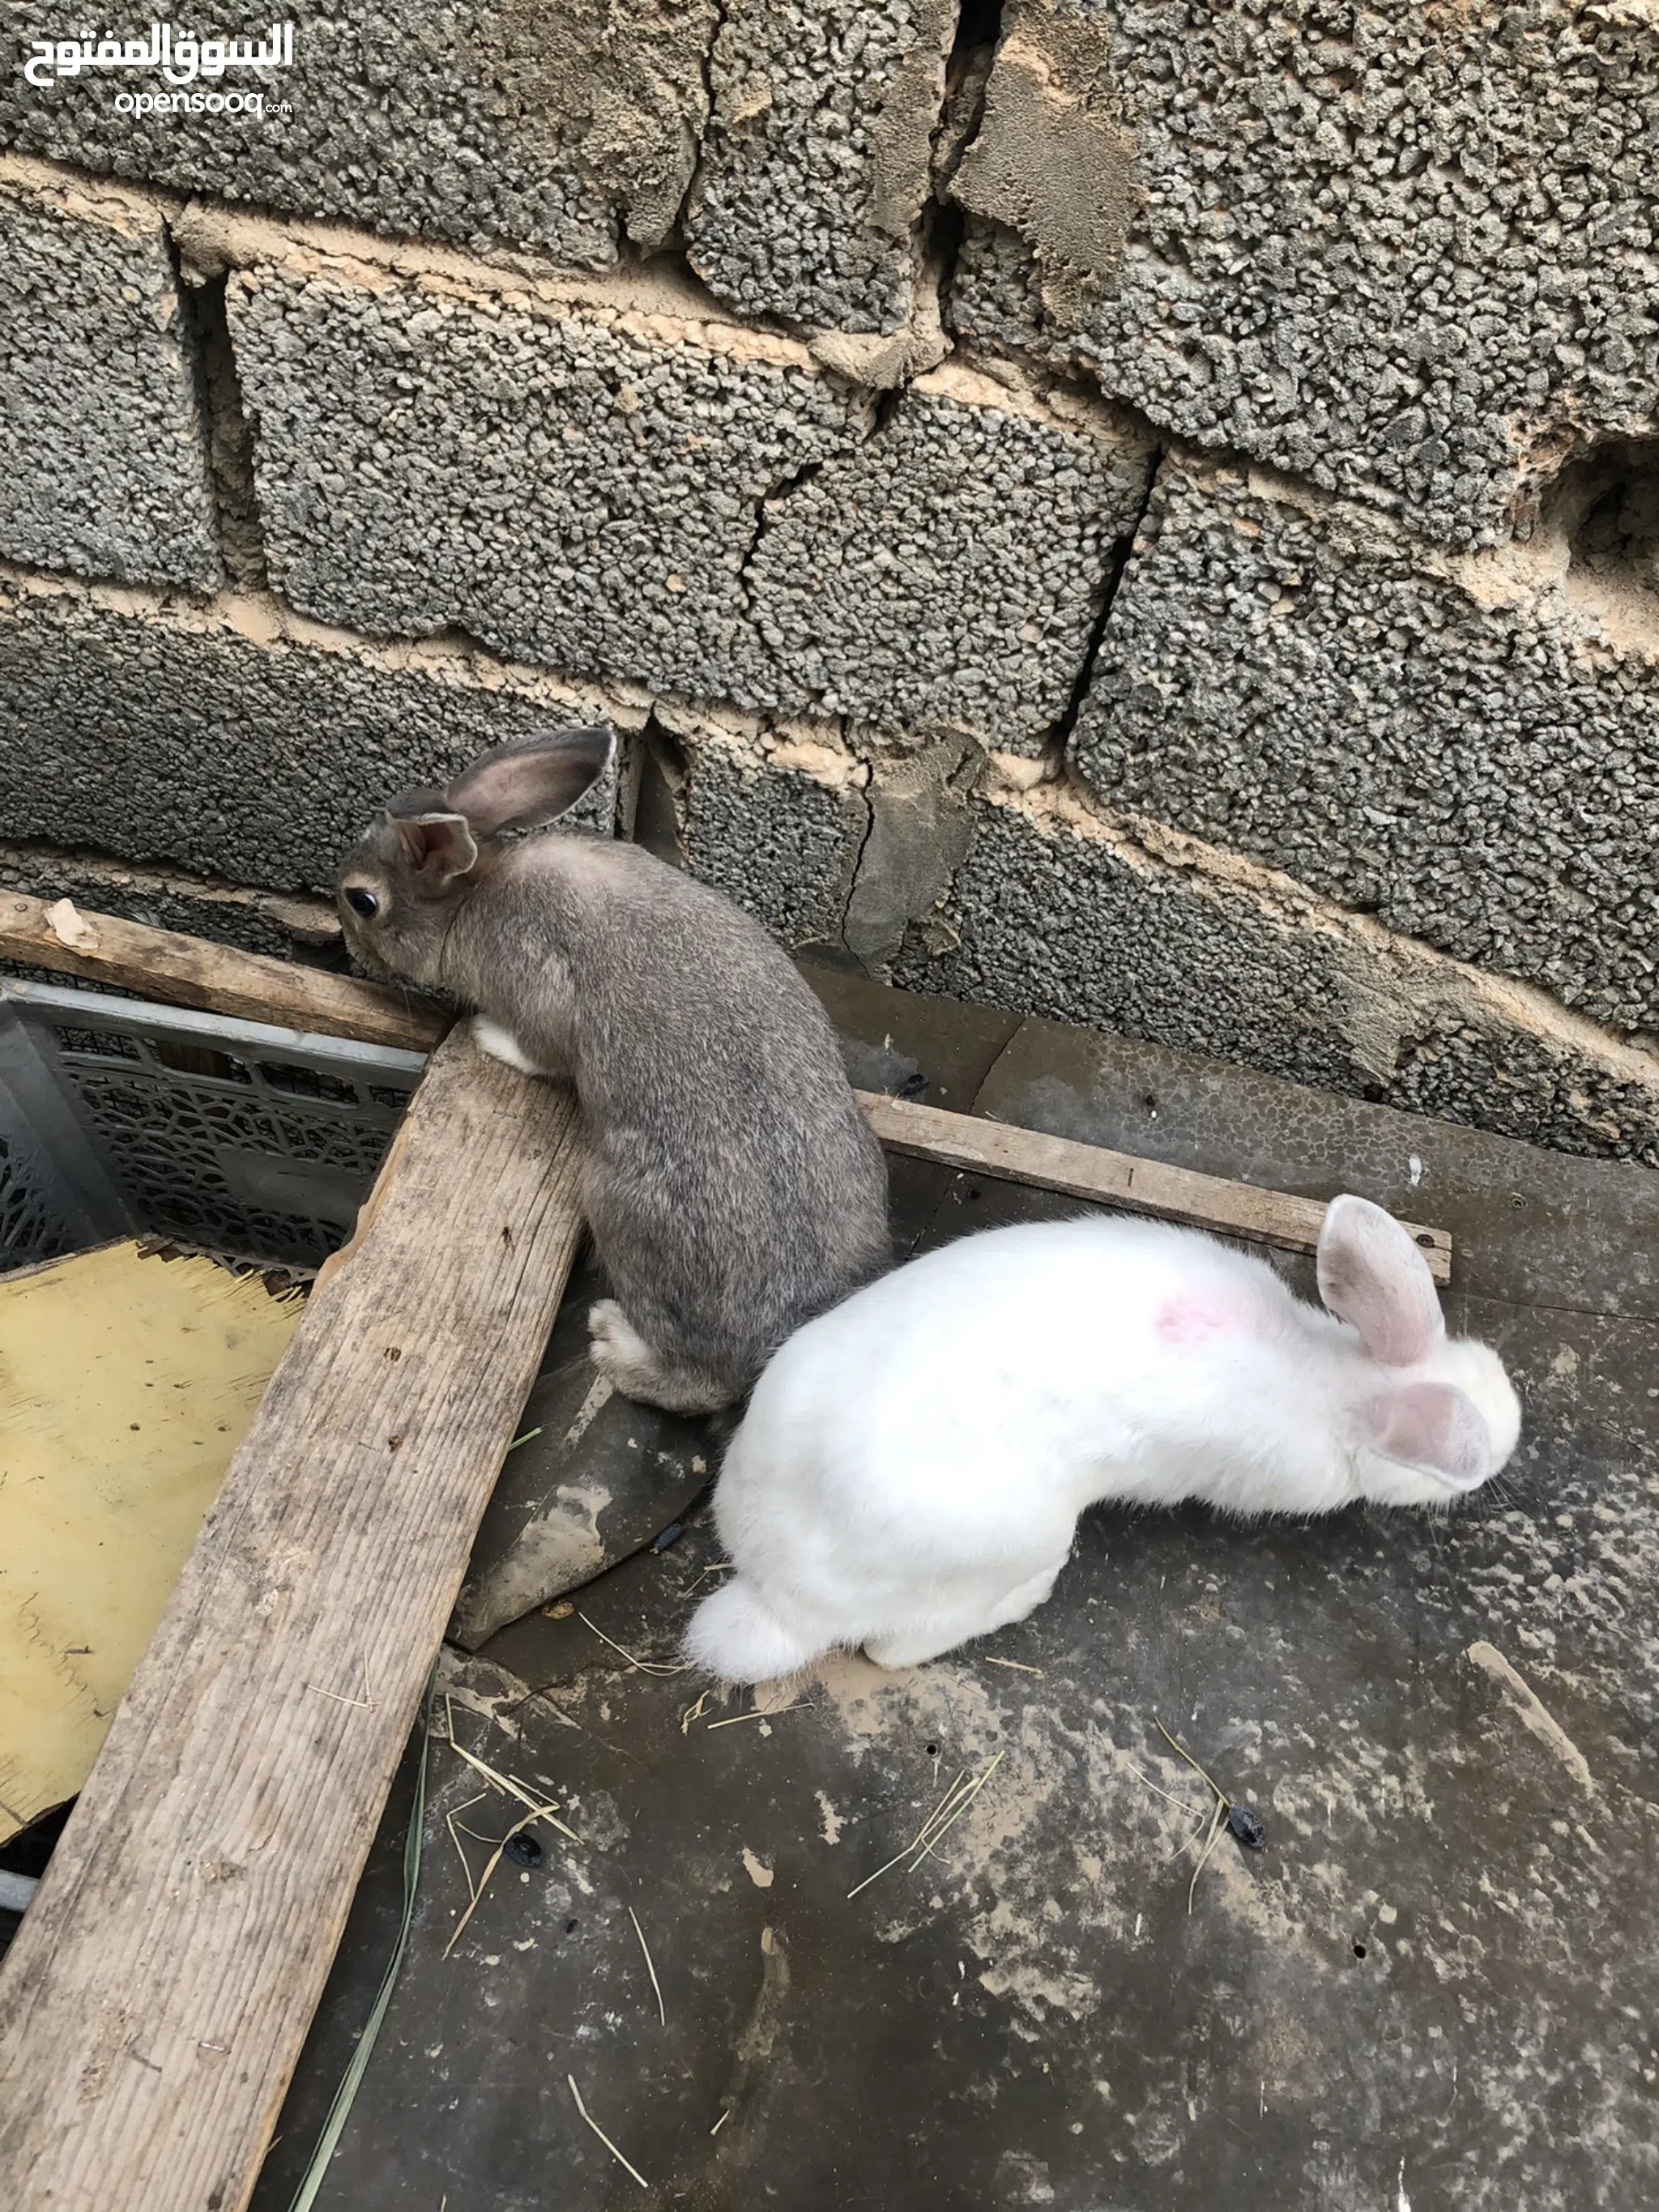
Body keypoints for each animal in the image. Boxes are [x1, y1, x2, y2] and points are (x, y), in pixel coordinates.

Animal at [336, 727, 891, 1413]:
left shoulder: (536, 982)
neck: (471, 895)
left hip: (618, 1209)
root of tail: (775, 1345)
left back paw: (613, 1341)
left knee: (695, 1382)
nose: (347, 947)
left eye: (362, 901)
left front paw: (487, 1036)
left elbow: (541, 1046)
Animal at [685, 1194, 1521, 1680]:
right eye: (1459, 1470)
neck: (1339, 1385)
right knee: (889, 1648)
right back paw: (1024, 1599)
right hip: (1019, 1538)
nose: (1513, 1429)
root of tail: (777, 1588)